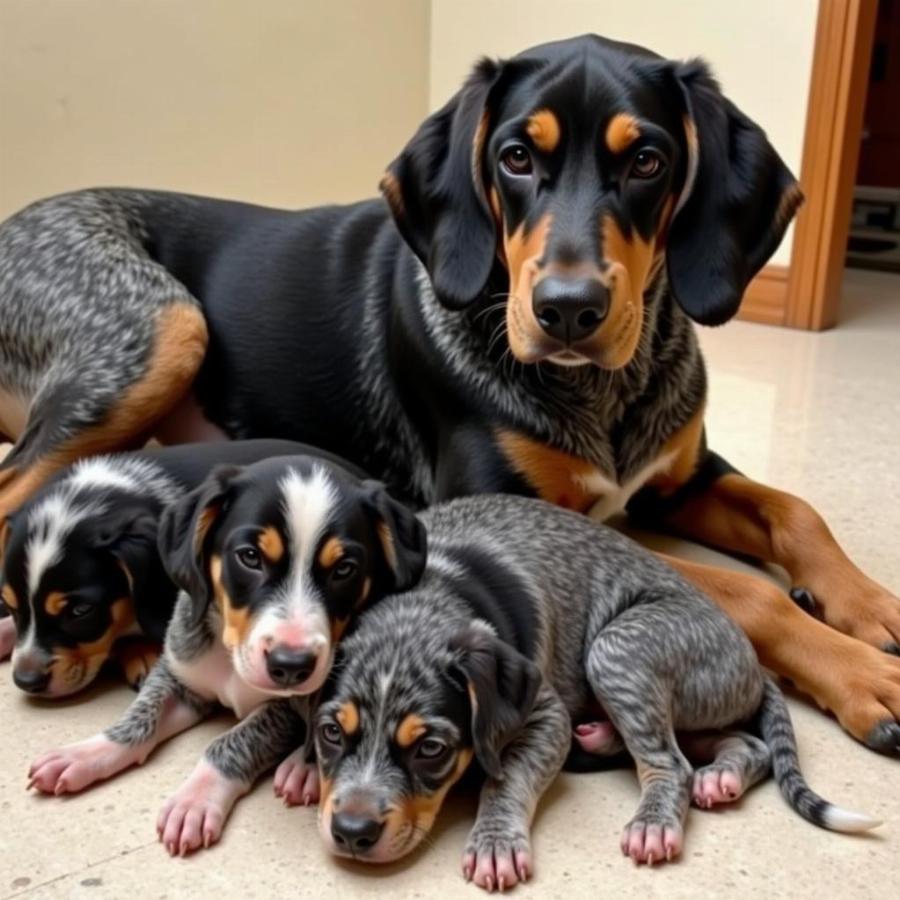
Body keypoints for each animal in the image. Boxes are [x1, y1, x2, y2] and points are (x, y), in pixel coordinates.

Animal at [24, 454, 426, 856]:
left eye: (344, 569)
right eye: (250, 557)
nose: (291, 666)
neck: (230, 659)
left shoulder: (287, 708)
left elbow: (233, 740)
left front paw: (195, 798)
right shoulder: (178, 672)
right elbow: (140, 716)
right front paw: (84, 754)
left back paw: (303, 770)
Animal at [312, 496, 876, 888]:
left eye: (431, 749)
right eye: (330, 735)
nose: (353, 833)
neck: (424, 602)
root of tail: (755, 664)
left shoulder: (545, 715)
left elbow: (504, 779)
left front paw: (496, 839)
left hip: (616, 649)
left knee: (671, 763)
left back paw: (656, 818)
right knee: (742, 741)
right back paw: (713, 774)